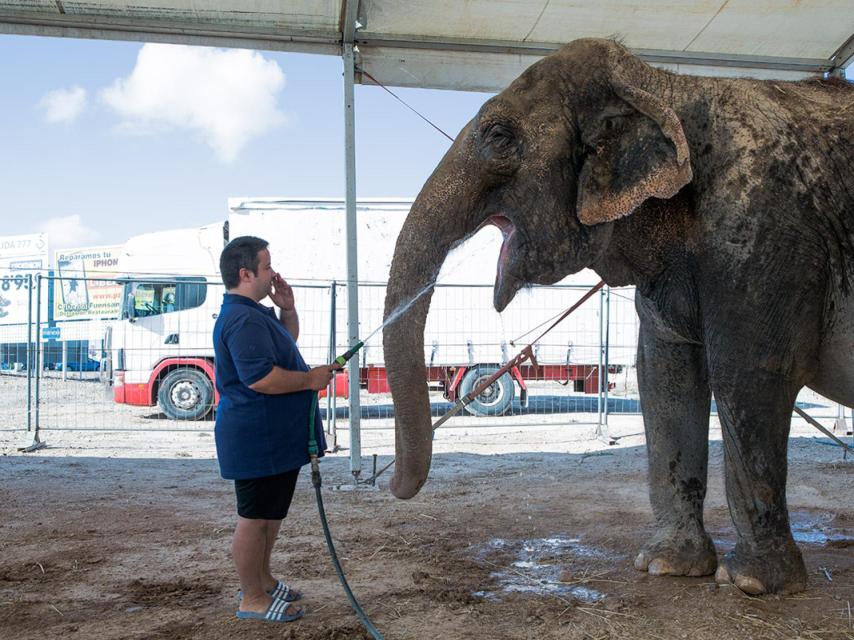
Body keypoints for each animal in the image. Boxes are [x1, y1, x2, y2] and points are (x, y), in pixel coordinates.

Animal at [382, 38, 854, 595]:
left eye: (498, 135)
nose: (390, 483)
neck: (666, 85)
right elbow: (664, 377)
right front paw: (667, 566)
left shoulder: (762, 234)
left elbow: (749, 374)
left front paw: (755, 583)